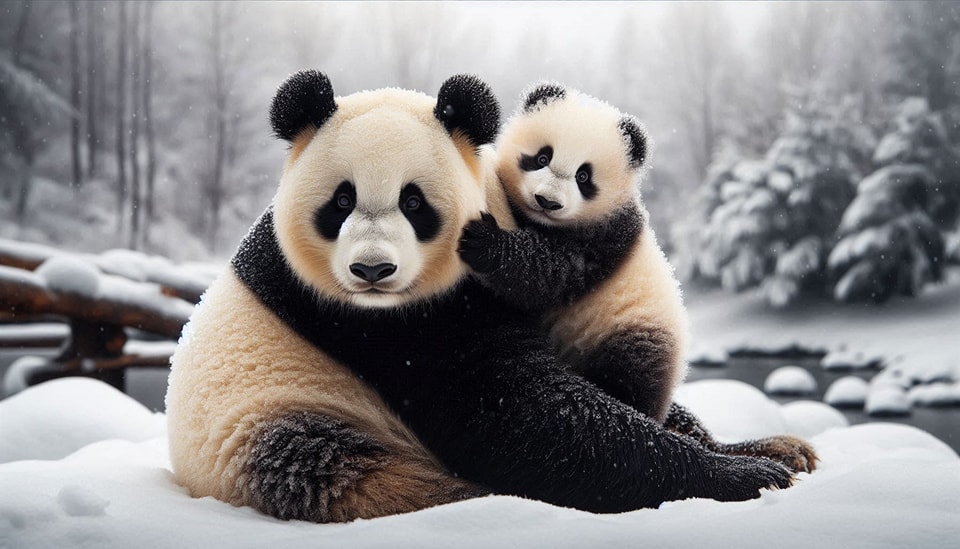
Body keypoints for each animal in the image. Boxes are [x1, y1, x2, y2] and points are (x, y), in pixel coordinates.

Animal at [166, 70, 800, 525]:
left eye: (414, 203)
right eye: (340, 202)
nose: (372, 270)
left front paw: (759, 459)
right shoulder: (386, 330)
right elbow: (520, 419)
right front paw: (743, 477)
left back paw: (784, 447)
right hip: (304, 442)